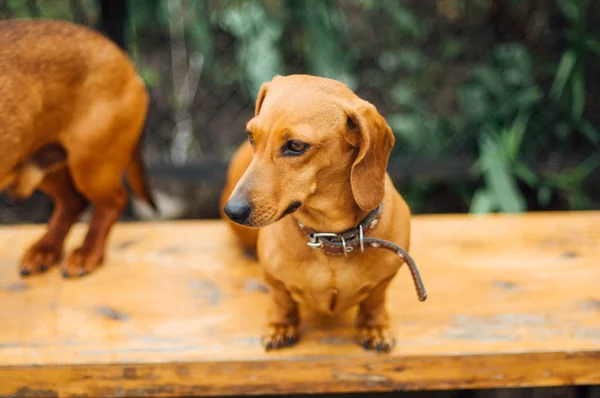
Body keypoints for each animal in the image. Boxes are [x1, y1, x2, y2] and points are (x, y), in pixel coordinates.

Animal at [1, 19, 155, 276]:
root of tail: (120, 54)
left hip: (90, 167)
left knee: (114, 201)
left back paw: (87, 254)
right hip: (44, 163)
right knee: (73, 202)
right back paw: (45, 250)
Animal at [221, 74, 426, 352]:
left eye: (296, 145)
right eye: (252, 136)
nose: (233, 211)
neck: (330, 237)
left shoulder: (384, 279)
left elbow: (374, 300)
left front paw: (374, 326)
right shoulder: (274, 278)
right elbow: (282, 299)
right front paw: (280, 326)